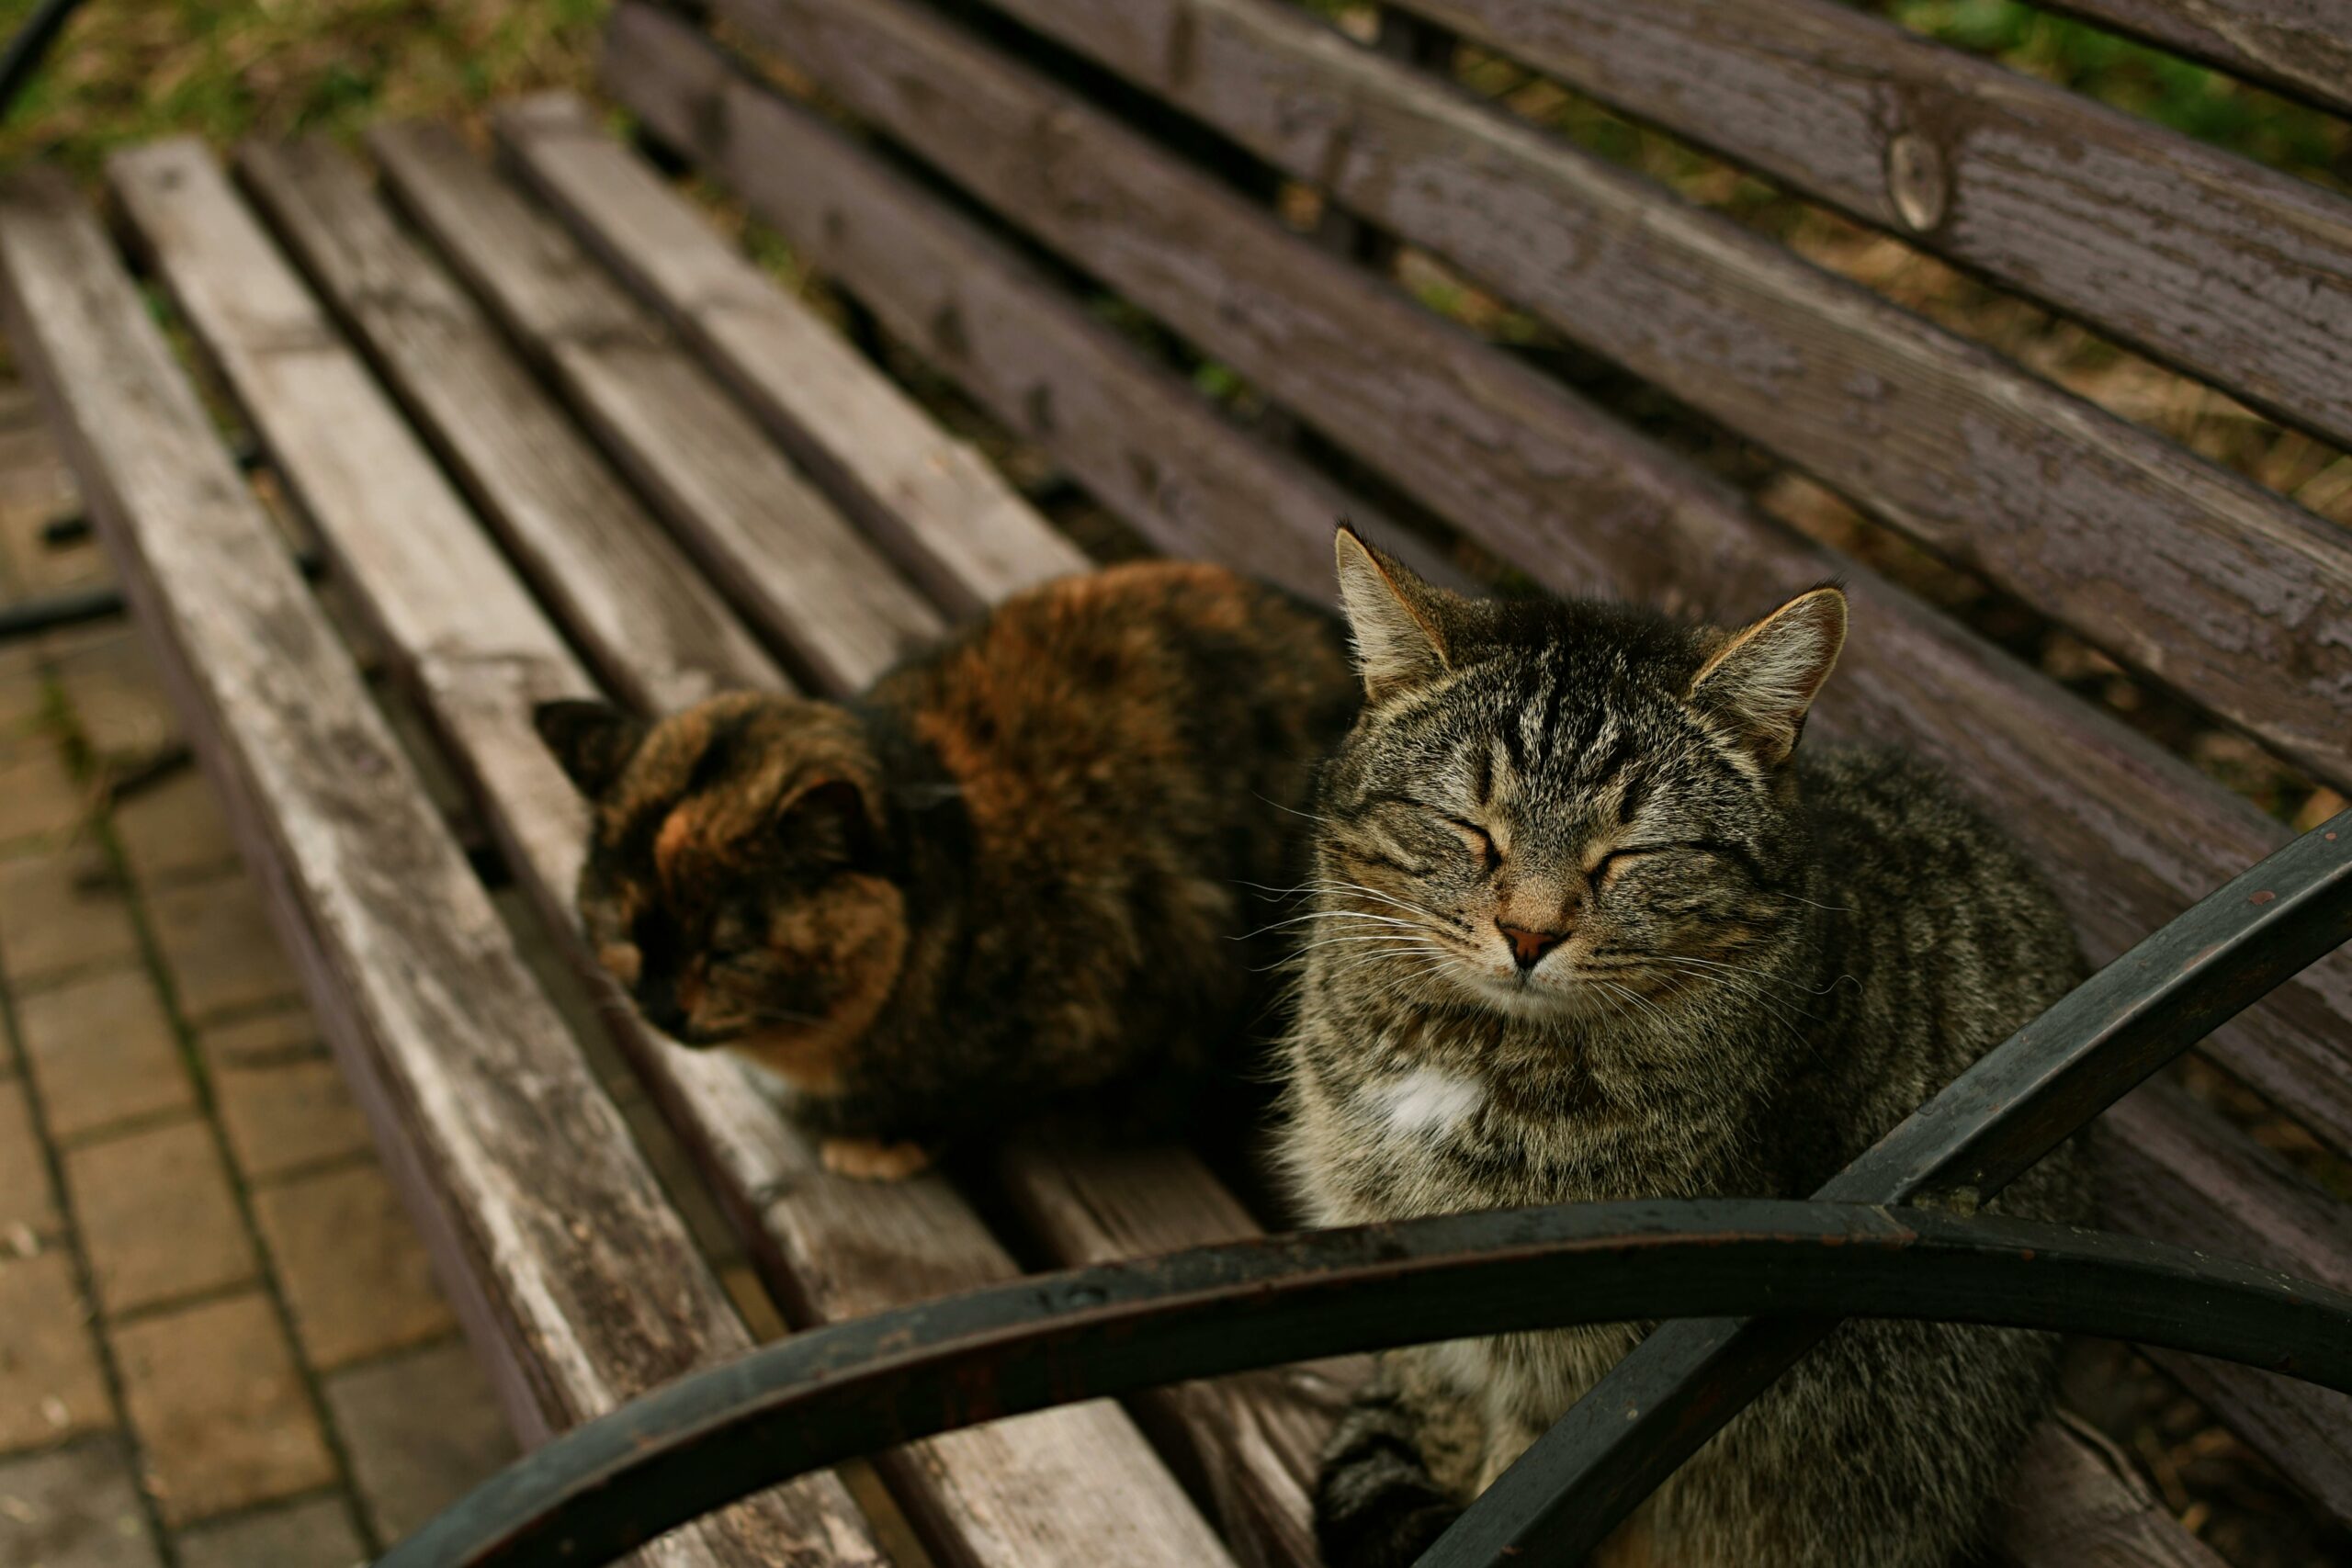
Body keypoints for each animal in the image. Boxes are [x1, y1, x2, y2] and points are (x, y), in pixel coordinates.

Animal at [1288, 531, 2098, 1568]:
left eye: (1631, 854)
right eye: (1473, 830)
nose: (1528, 933)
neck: (1469, 1053)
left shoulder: (1581, 1369)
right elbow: (1436, 1405)